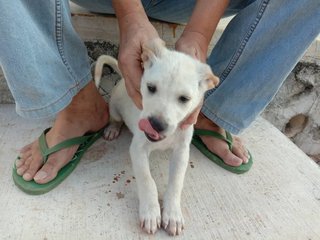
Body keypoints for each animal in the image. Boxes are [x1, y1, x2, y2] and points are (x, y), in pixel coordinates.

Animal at [94, 38, 219, 235]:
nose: (155, 125)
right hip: (113, 108)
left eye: (184, 99)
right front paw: (151, 212)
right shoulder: (137, 149)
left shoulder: (182, 151)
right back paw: (112, 128)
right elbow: (147, 180)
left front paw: (173, 214)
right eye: (151, 88)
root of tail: (122, 80)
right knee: (115, 119)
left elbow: (176, 182)